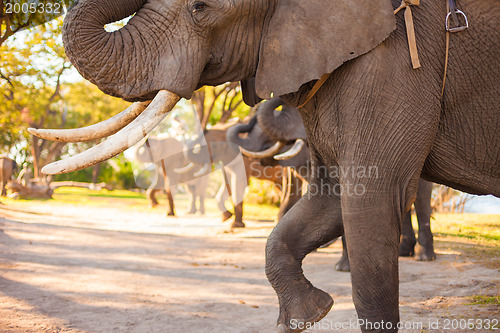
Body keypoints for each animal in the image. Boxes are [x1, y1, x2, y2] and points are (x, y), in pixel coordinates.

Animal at [31, 1, 500, 330]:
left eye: (200, 7)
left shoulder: (394, 66)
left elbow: (368, 201)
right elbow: (325, 201)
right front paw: (309, 314)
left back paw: (420, 257)